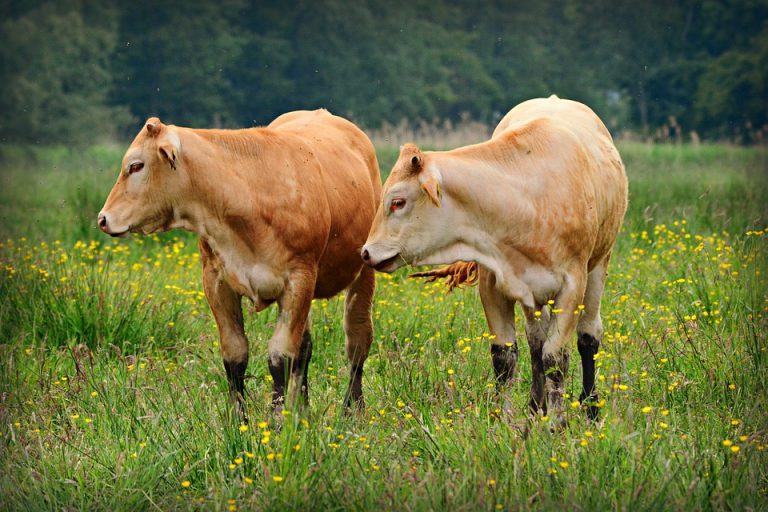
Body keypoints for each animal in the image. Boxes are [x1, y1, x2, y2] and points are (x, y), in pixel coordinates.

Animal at [97, 110, 382, 414]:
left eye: (136, 166)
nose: (103, 218)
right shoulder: (216, 282)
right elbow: (235, 356)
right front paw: (239, 420)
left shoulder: (299, 280)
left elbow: (280, 356)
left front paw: (277, 419)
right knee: (305, 349)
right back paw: (302, 412)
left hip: (364, 272)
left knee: (357, 342)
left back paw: (352, 411)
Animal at [364, 97, 628, 428]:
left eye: (397, 202)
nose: (366, 252)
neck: (525, 198)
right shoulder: (493, 284)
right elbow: (506, 357)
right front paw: (505, 420)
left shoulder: (572, 285)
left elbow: (556, 359)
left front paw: (556, 424)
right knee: (536, 343)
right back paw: (535, 407)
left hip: (598, 267)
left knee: (588, 337)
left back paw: (591, 408)